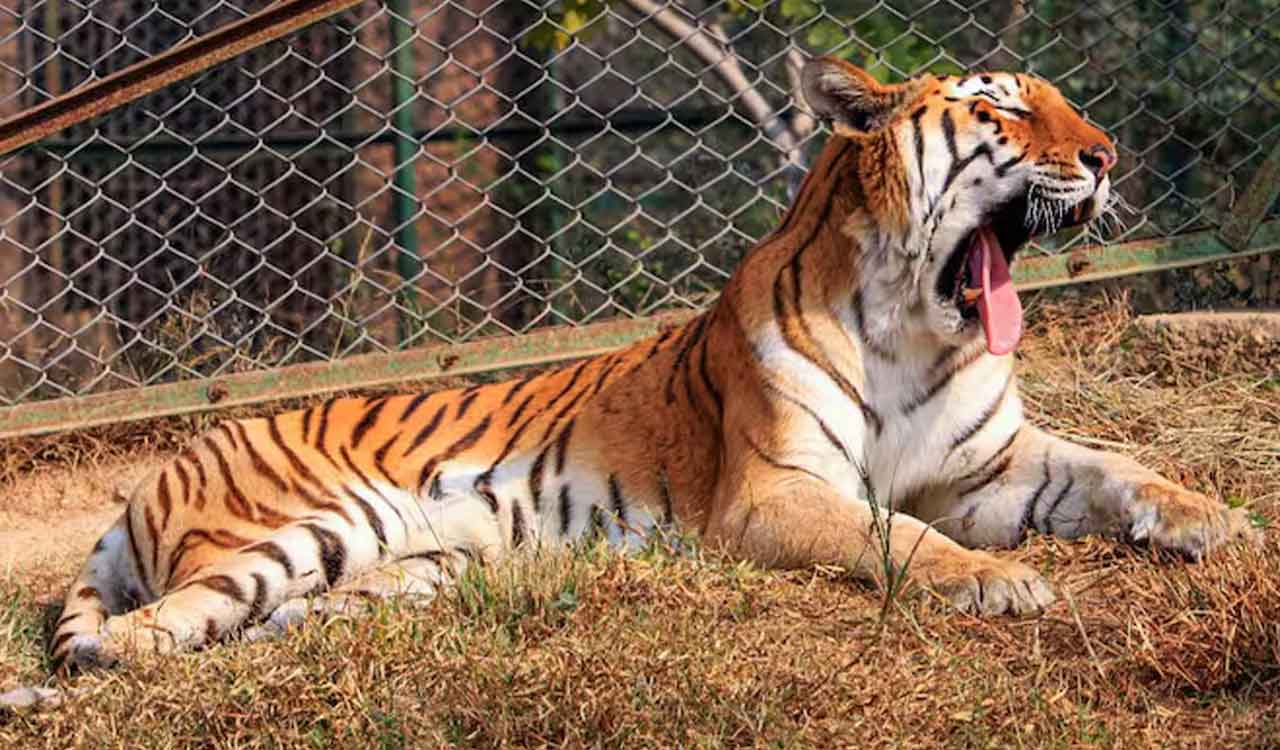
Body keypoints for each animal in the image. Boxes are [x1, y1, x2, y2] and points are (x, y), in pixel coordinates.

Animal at [28, 57, 1262, 682]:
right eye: (1005, 108)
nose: (1106, 156)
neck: (920, 320)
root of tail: (150, 478)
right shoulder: (775, 492)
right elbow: (898, 537)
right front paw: (996, 581)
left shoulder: (994, 466)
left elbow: (1117, 465)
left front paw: (1219, 520)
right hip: (283, 534)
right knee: (141, 638)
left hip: (412, 563)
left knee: (287, 617)